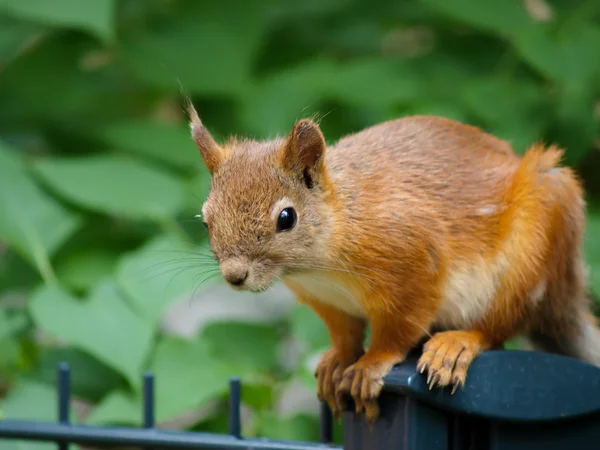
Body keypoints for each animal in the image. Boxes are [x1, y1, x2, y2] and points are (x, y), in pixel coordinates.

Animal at [185, 100, 600, 424]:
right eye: (205, 219)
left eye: (286, 218)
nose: (234, 276)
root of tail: (565, 288)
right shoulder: (328, 301)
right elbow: (344, 333)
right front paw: (338, 360)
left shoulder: (414, 266)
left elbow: (399, 329)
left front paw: (370, 365)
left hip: (531, 253)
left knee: (498, 325)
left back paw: (456, 345)